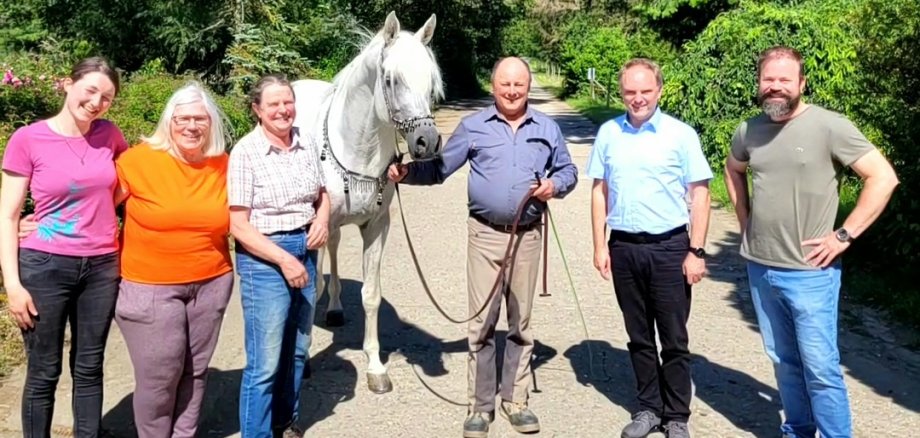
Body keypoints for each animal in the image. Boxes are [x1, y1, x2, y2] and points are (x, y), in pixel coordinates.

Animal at [292, 11, 442, 394]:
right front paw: (304, 363)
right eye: (390, 80)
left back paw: (335, 309)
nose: (427, 142)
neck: (354, 148)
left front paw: (375, 367)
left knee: (333, 249)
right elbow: (309, 293)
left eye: (430, 82)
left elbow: (371, 294)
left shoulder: (377, 227)